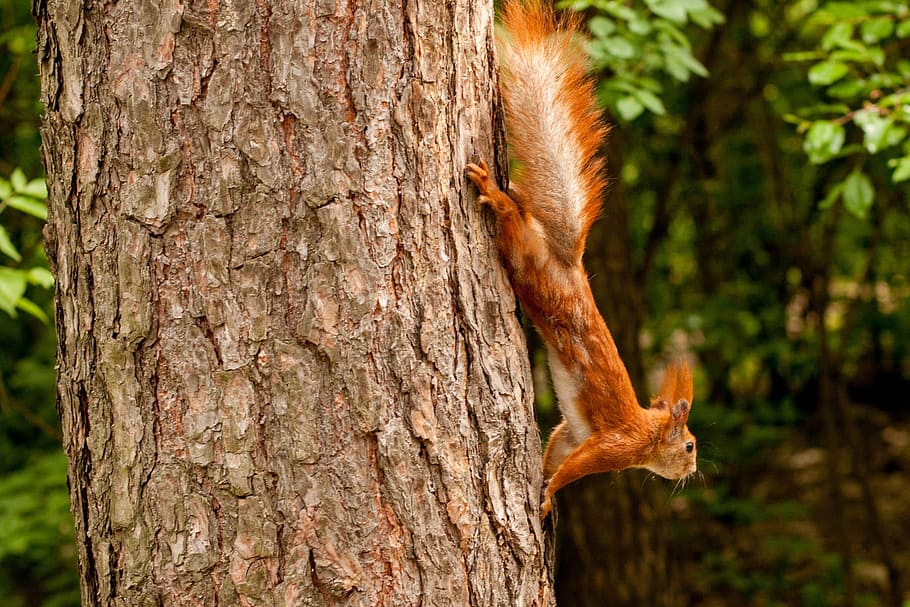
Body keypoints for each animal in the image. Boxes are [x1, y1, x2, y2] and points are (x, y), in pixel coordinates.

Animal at [466, 0, 697, 518]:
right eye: (691, 445)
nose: (694, 472)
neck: (648, 432)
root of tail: (571, 267)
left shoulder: (572, 433)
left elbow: (557, 449)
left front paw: (544, 486)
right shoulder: (616, 445)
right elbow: (576, 468)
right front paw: (551, 494)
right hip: (530, 267)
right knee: (512, 224)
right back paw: (495, 193)